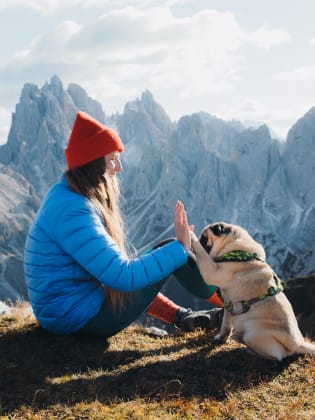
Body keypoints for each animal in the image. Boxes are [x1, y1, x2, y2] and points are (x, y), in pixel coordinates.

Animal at [190, 223, 315, 360]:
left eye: (204, 239)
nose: (200, 239)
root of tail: (298, 344)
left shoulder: (213, 271)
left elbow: (202, 253)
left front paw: (190, 235)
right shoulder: (228, 305)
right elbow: (226, 325)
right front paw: (222, 338)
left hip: (253, 335)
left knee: (276, 356)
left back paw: (246, 347)